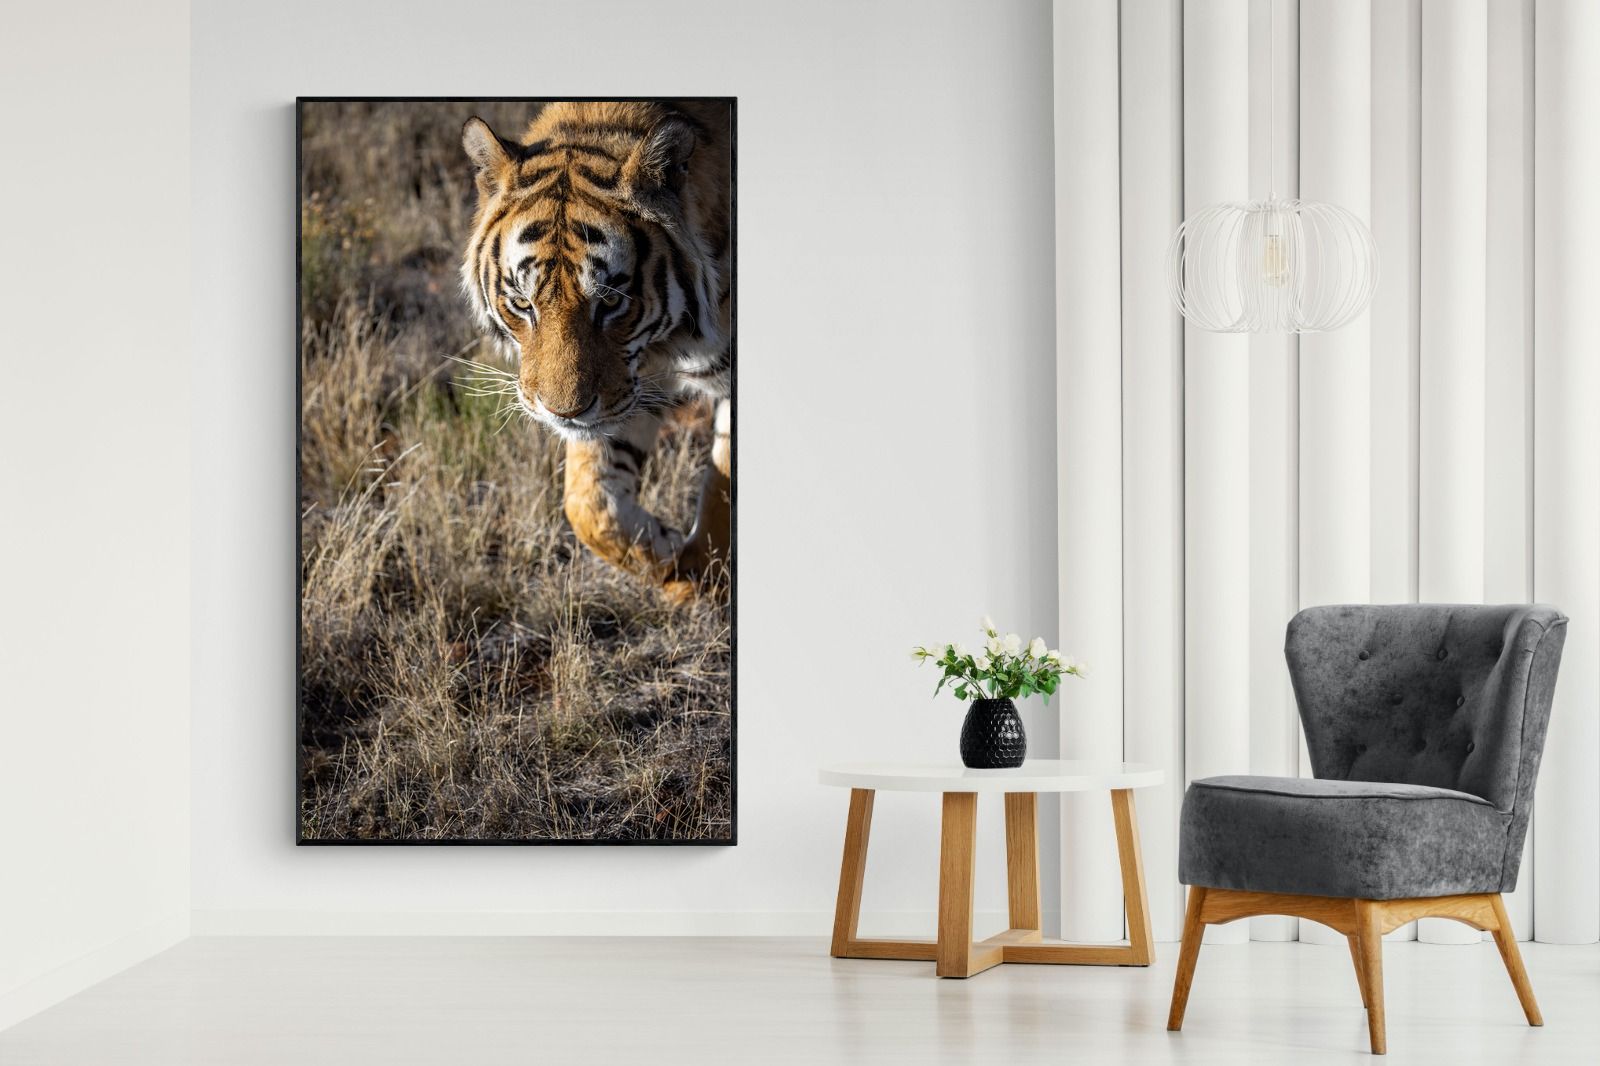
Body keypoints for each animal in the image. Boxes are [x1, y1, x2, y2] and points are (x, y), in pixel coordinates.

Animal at [459, 101, 732, 599]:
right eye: (523, 303)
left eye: (610, 301)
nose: (562, 413)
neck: (670, 343)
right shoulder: (632, 385)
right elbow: (587, 504)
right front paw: (666, 554)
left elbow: (722, 493)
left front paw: (701, 575)